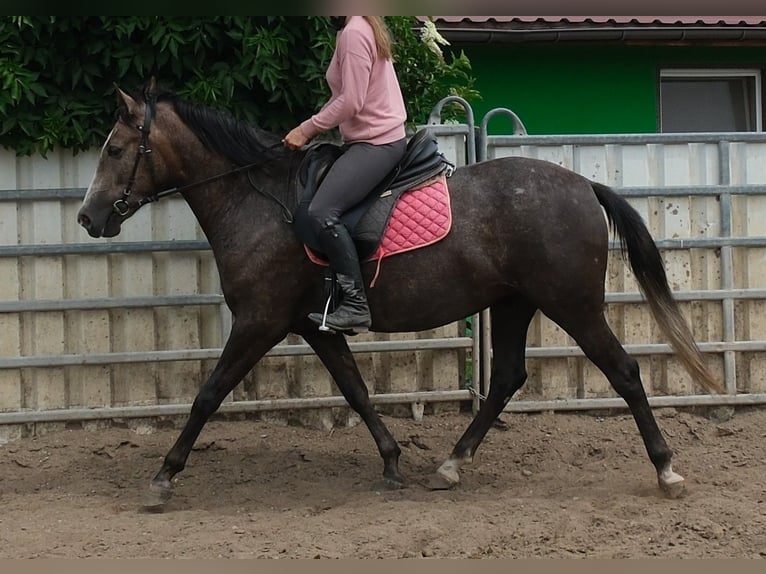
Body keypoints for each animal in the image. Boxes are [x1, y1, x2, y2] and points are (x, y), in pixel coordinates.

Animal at [76, 79, 721, 510]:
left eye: (114, 150)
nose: (88, 217)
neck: (260, 202)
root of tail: (584, 185)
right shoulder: (313, 325)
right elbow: (356, 391)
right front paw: (391, 462)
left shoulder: (260, 321)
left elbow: (207, 396)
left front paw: (163, 477)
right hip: (514, 302)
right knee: (507, 377)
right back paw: (451, 465)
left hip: (573, 306)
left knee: (624, 372)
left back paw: (666, 470)